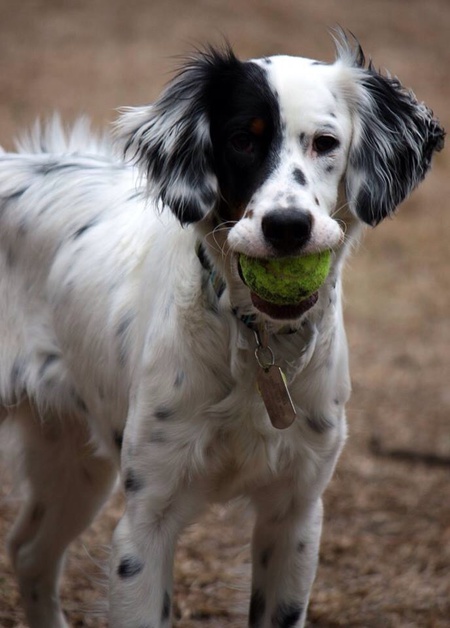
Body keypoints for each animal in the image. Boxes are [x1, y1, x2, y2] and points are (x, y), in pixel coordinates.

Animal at [0, 33, 442, 628]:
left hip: (72, 458)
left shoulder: (295, 514)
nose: (287, 227)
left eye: (326, 143)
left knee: (30, 551)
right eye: (241, 140)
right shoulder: (146, 520)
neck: (257, 342)